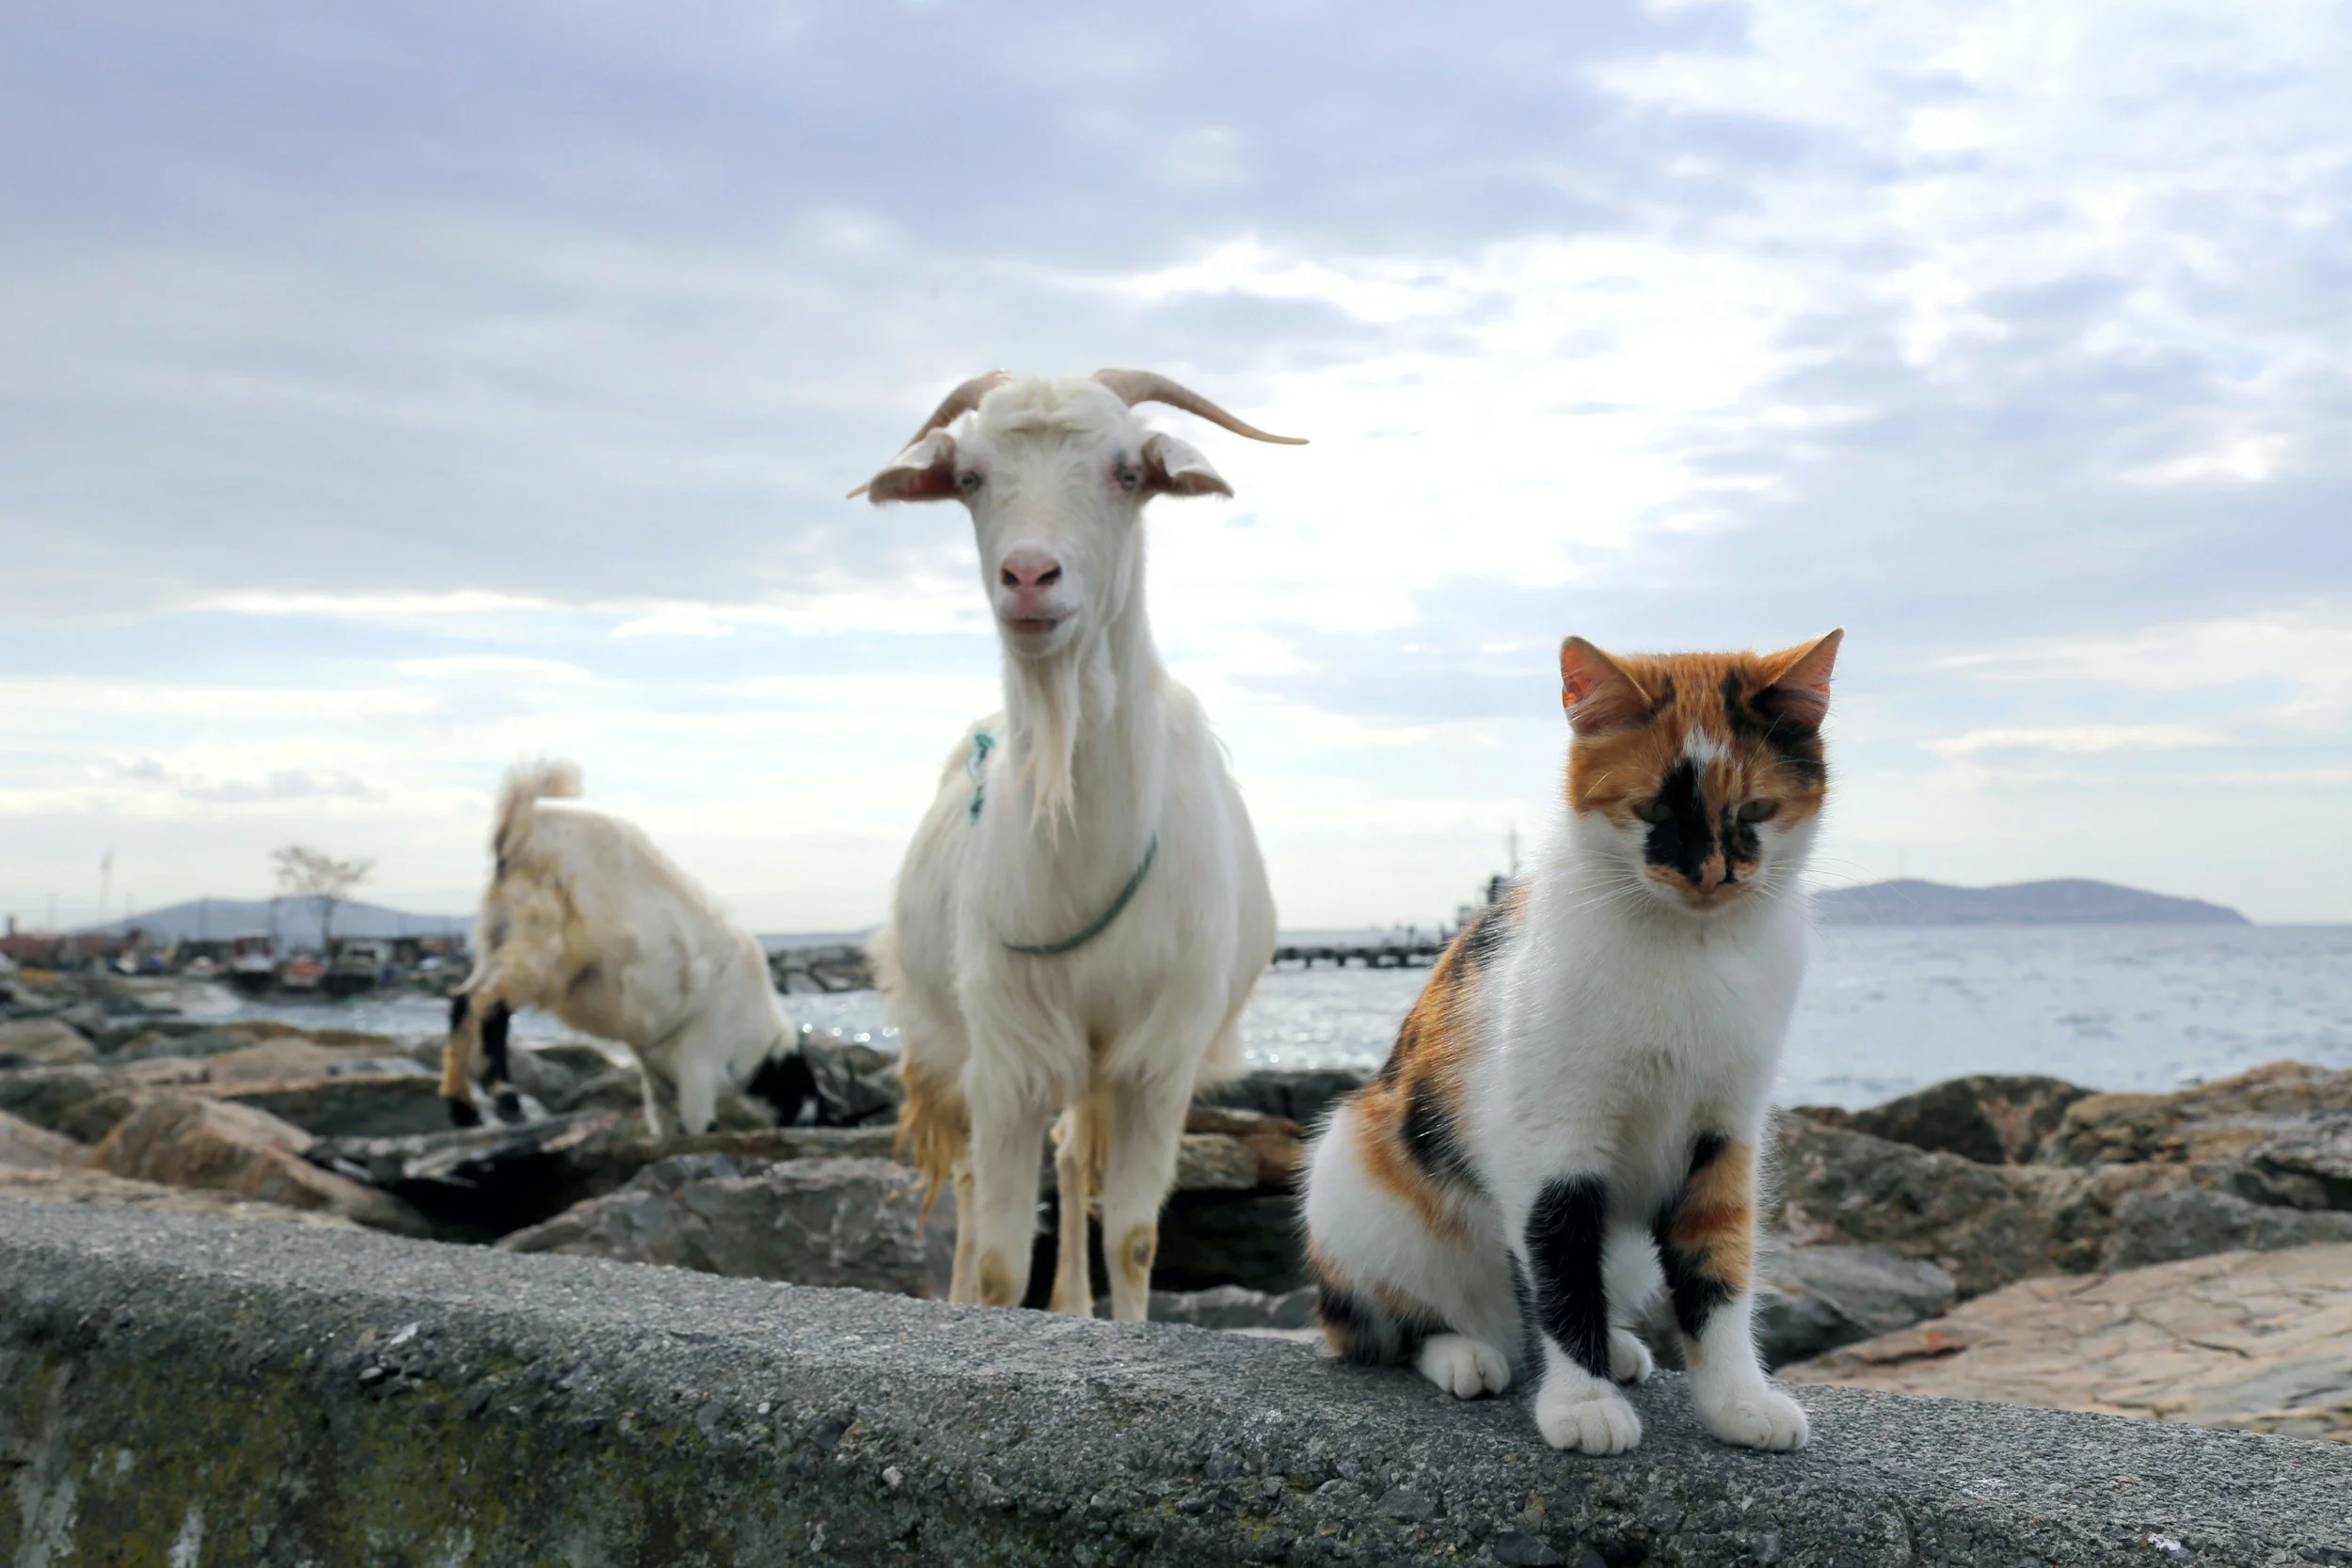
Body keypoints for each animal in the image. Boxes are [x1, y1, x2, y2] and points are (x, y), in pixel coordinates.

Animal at [439, 762, 814, 1136]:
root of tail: (520, 824)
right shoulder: (698, 1062)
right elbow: (699, 1124)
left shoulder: (658, 1069)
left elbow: (662, 1121)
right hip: (544, 946)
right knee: (491, 1005)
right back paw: (506, 1102)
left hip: (498, 935)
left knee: (464, 1002)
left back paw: (464, 1109)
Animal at [861, 370, 1295, 1320]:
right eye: (971, 478)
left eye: (1127, 473)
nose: (1029, 576)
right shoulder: (1006, 1050)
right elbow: (997, 1255)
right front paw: (987, 1309)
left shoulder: (1160, 1059)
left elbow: (1133, 1236)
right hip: (947, 1037)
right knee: (966, 1183)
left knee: (1069, 1154)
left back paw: (1073, 1307)